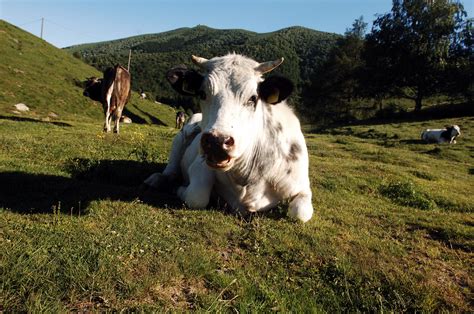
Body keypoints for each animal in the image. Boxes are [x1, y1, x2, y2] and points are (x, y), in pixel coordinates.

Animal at [144, 52, 314, 222]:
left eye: (253, 98)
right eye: (202, 94)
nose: (216, 141)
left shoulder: (302, 185)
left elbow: (300, 213)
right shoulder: (199, 165)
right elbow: (196, 197)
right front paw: (177, 188)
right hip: (179, 139)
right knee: (171, 169)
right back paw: (157, 179)